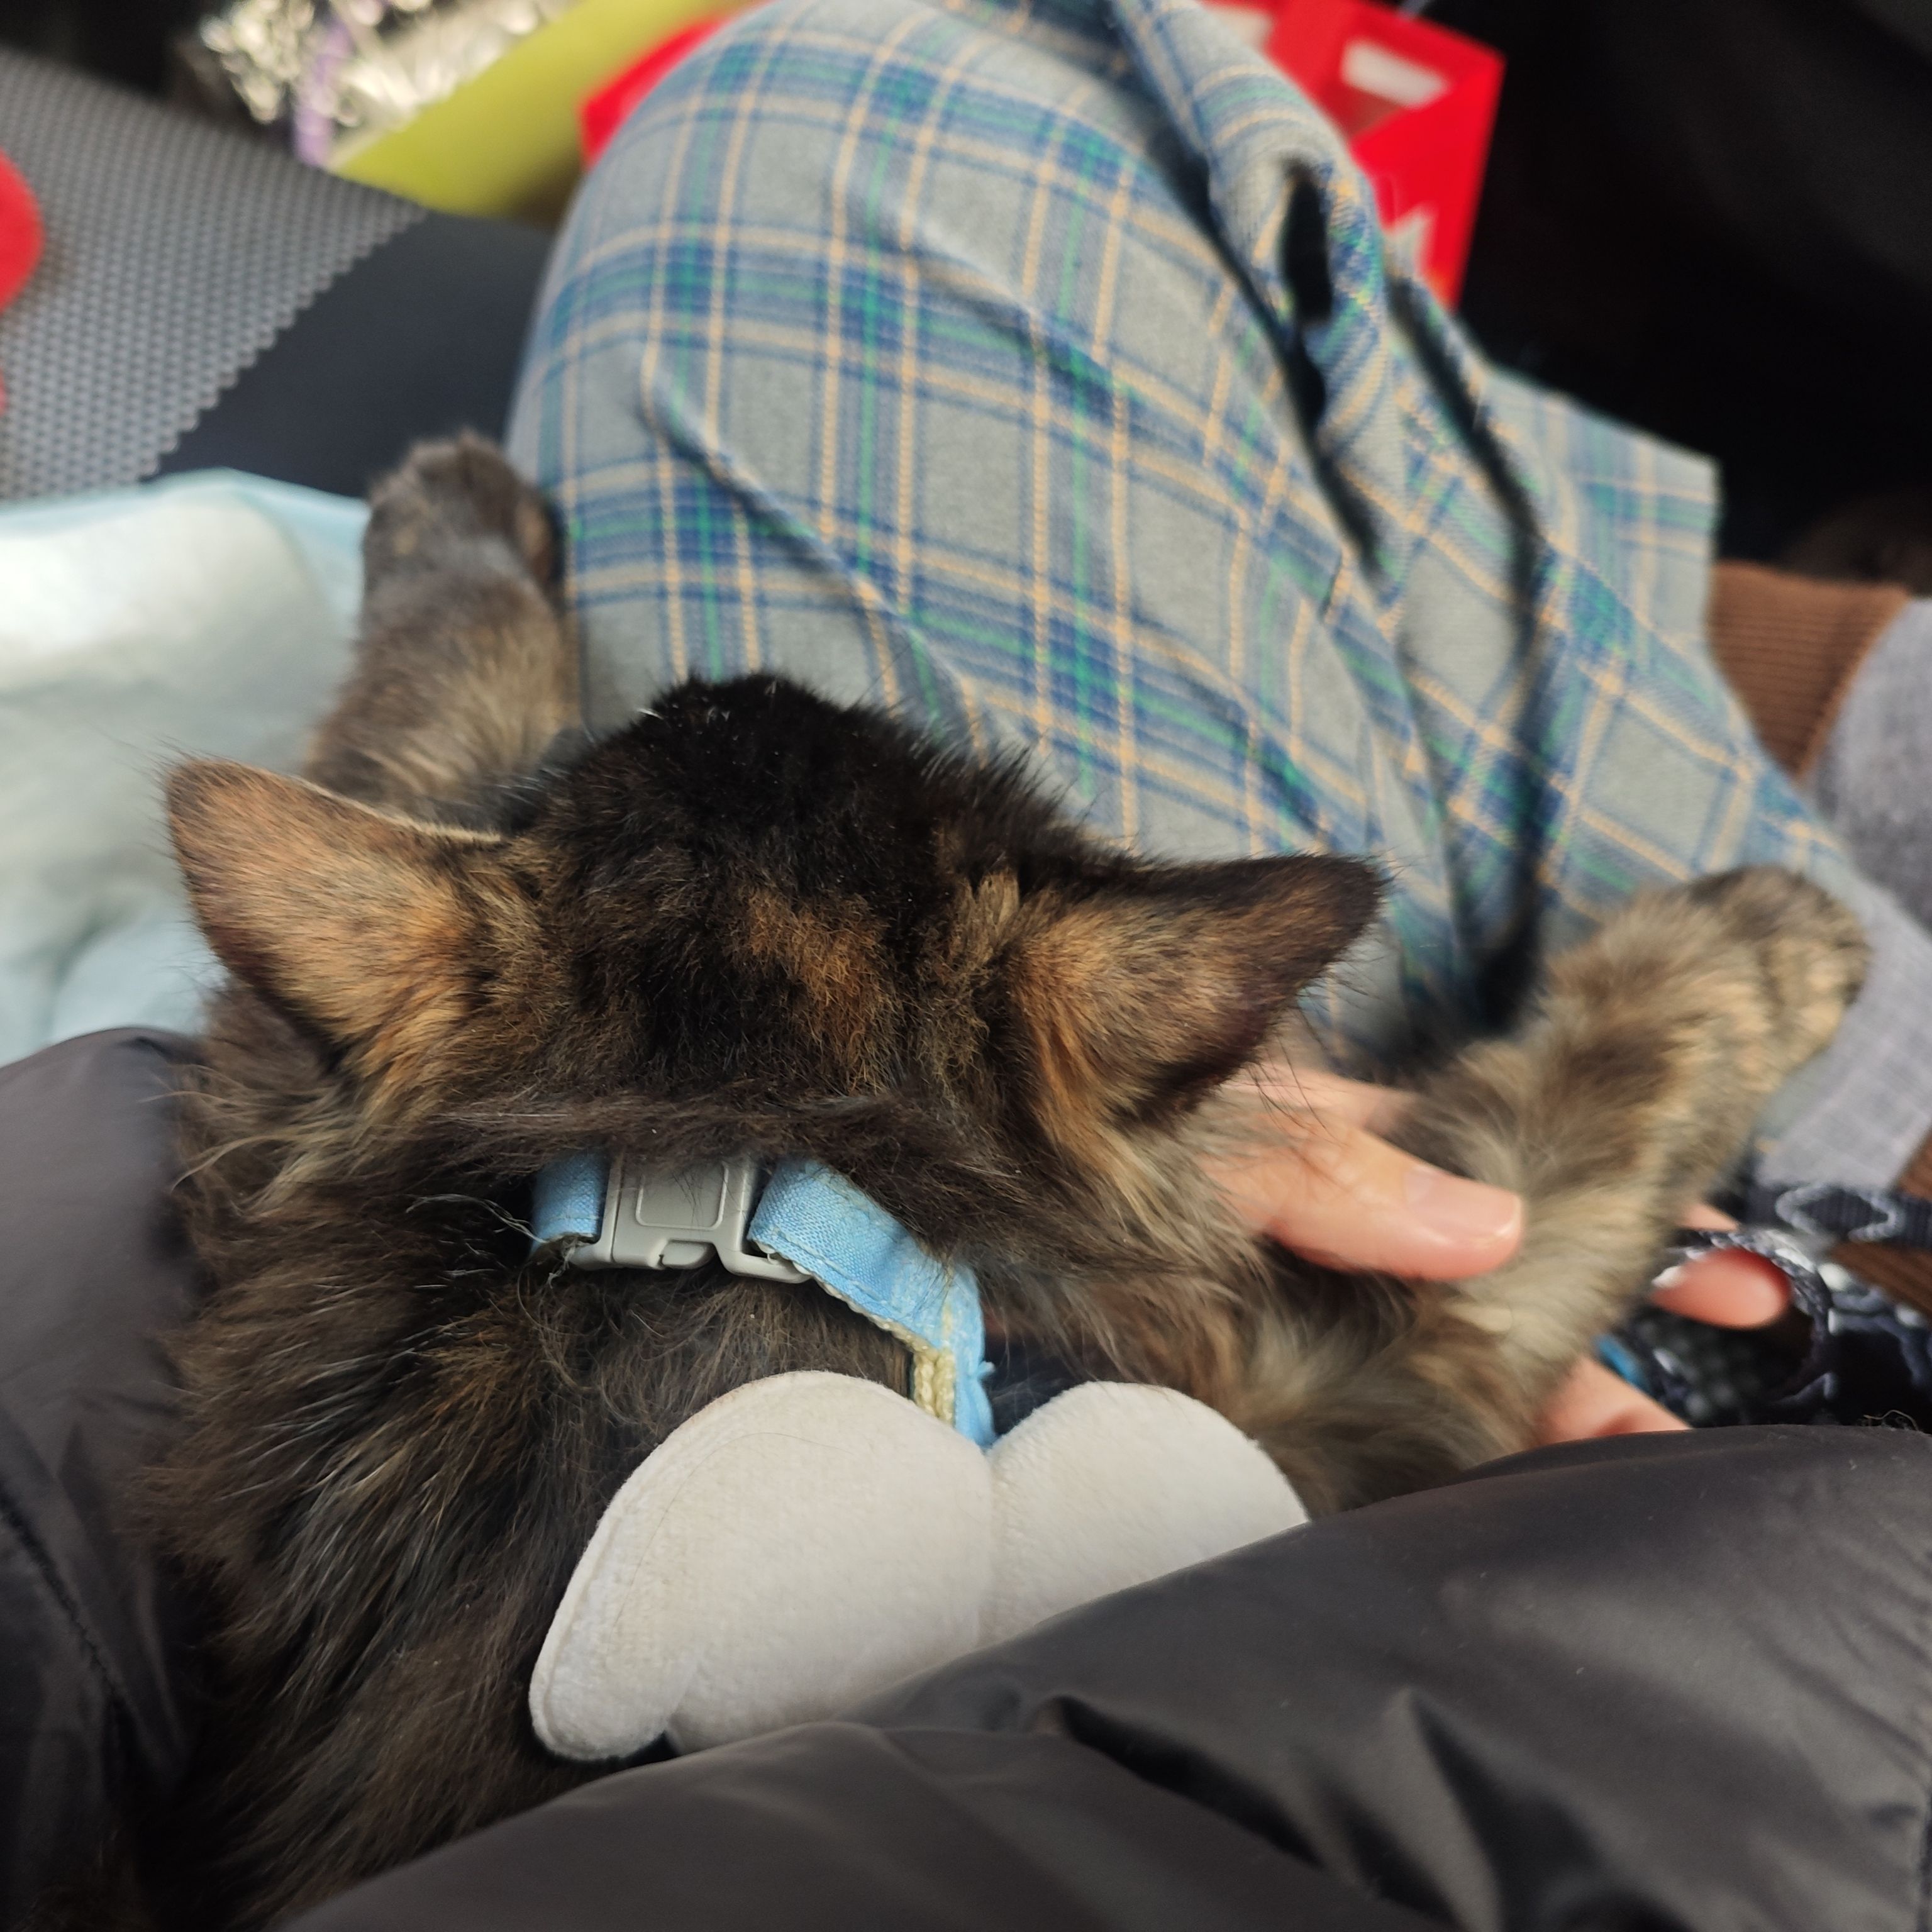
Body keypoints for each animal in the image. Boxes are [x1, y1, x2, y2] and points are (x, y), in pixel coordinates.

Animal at [72, 437, 1866, 1930]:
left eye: (677, 724)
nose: (743, 677)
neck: (737, 1192)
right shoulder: (1394, 1356)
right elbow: (1589, 1117)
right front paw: (1779, 933)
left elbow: (428, 717)